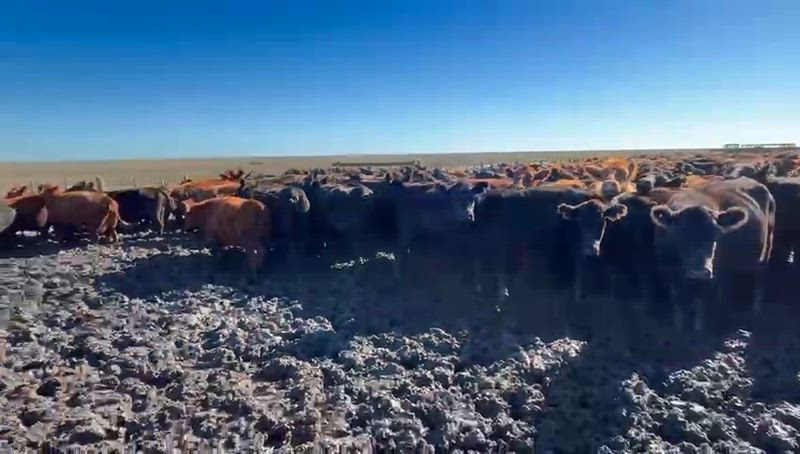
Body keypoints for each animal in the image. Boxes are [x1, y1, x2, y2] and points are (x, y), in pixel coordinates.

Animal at [650, 177, 775, 330]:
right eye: (679, 236)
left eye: (716, 236)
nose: (699, 273)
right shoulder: (668, 271)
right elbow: (678, 302)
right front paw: (679, 327)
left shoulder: (712, 276)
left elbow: (701, 302)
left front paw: (699, 329)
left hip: (766, 248)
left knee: (759, 281)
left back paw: (754, 312)